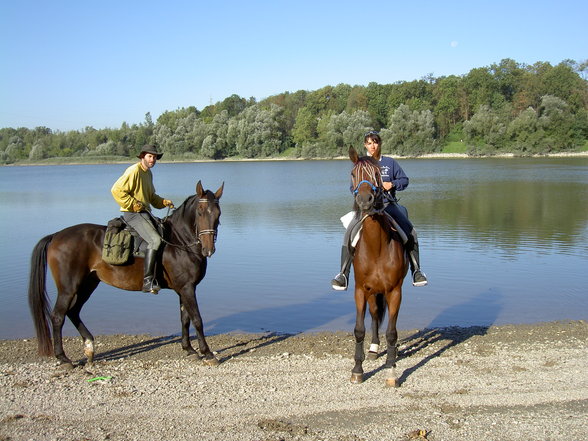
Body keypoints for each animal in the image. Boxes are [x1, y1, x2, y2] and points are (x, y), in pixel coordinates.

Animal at [25, 180, 223, 366]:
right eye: (200, 211)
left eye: (218, 214)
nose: (208, 249)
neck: (179, 241)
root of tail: (56, 235)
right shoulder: (187, 288)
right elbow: (197, 319)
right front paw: (207, 353)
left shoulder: (183, 289)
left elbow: (185, 319)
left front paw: (189, 349)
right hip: (68, 288)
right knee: (58, 316)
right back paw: (63, 358)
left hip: (88, 284)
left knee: (73, 311)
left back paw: (89, 347)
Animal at [346, 146, 406, 384]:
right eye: (353, 174)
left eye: (378, 174)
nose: (365, 199)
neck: (376, 247)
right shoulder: (360, 290)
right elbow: (359, 329)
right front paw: (357, 369)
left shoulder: (395, 291)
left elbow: (392, 331)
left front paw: (391, 370)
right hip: (372, 293)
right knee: (373, 315)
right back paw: (373, 348)